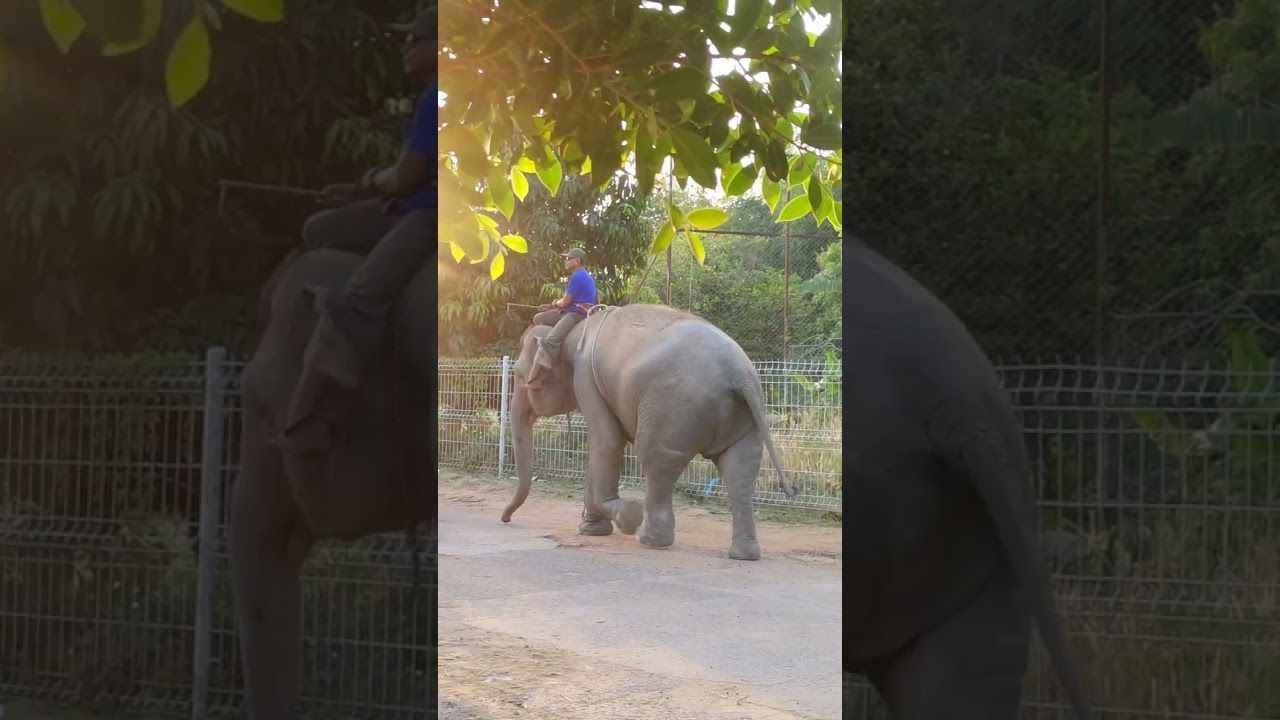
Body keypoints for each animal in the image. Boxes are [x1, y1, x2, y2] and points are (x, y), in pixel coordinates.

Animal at [502, 303, 795, 560]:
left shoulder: (586, 377)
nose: (505, 518)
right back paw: (744, 555)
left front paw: (623, 516)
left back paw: (648, 539)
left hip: (673, 409)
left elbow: (606, 441)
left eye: (522, 378)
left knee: (657, 461)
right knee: (741, 471)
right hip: (746, 417)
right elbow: (602, 444)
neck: (569, 329)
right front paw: (592, 529)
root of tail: (739, 373)